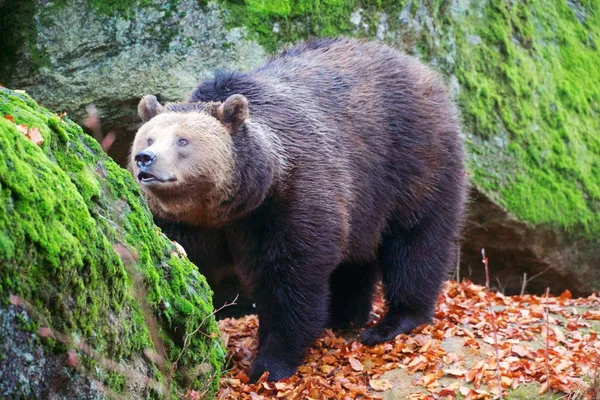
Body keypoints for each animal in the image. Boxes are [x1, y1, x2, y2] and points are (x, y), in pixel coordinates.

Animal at [130, 39, 468, 382]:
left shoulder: (290, 197)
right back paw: (344, 315)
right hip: (364, 203)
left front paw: (269, 364)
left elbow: (289, 279)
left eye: (182, 141)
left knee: (416, 239)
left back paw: (393, 322)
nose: (145, 159)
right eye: (148, 137)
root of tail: (419, 68)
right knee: (355, 261)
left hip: (412, 160)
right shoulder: (183, 223)